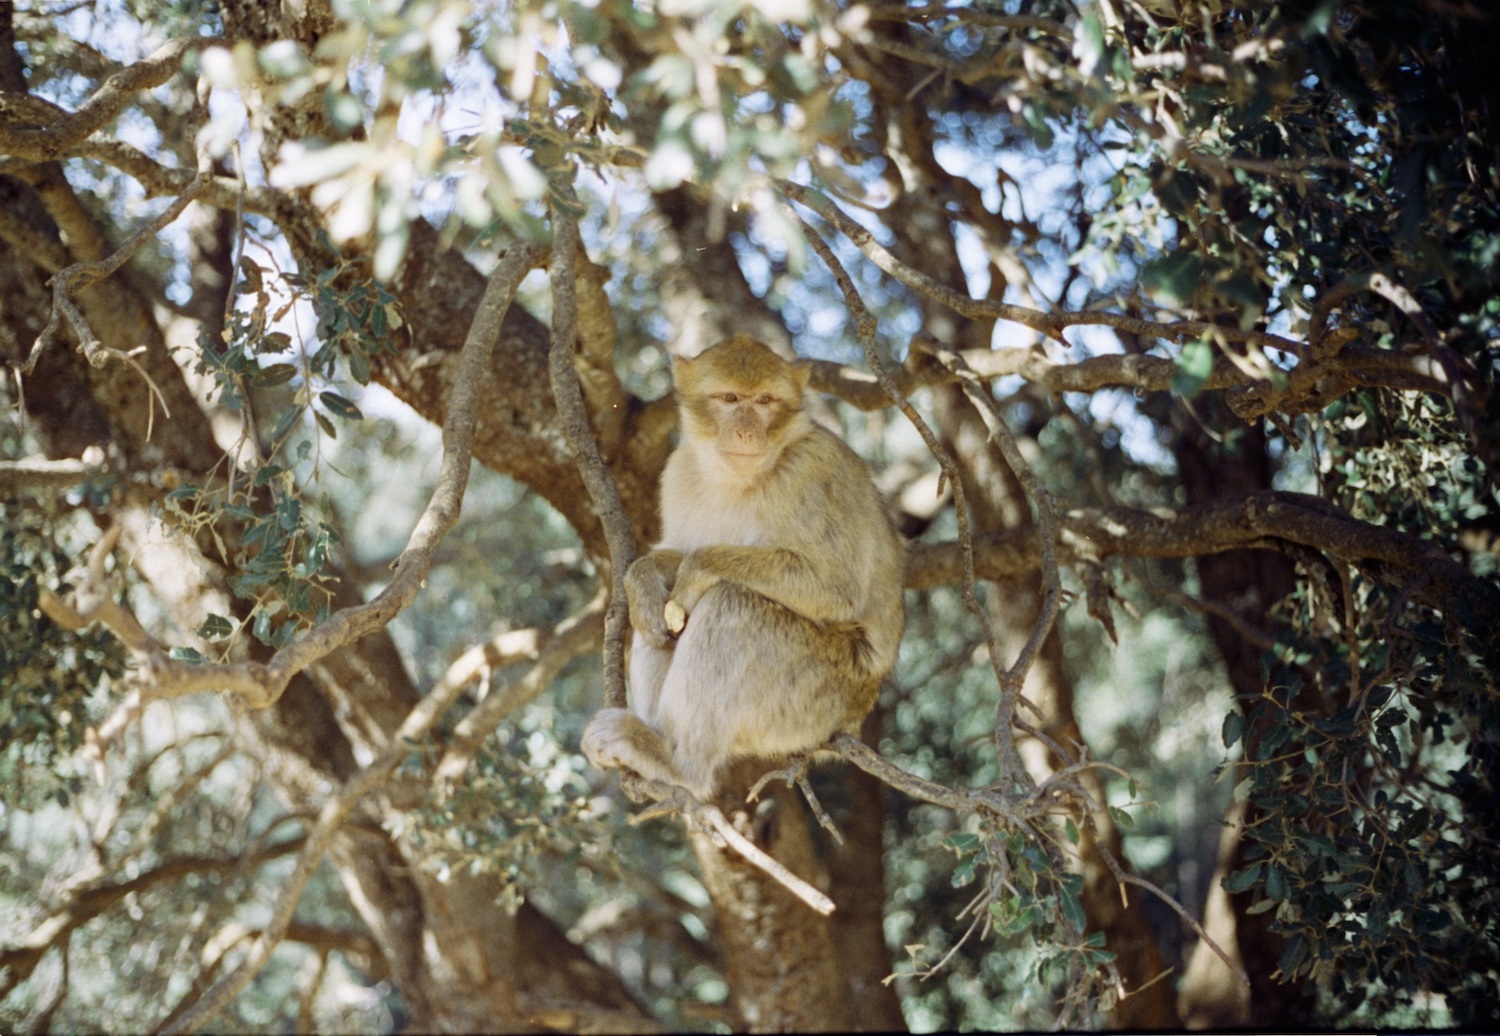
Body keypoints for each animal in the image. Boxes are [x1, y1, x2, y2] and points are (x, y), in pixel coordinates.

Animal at [576, 334, 900, 803]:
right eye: (729, 399)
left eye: (764, 400)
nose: (747, 430)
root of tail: (850, 722)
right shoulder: (677, 473)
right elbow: (669, 564)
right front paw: (643, 579)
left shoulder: (814, 473)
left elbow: (836, 587)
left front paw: (697, 570)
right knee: (665, 629)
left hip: (815, 698)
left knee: (733, 603)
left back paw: (676, 761)